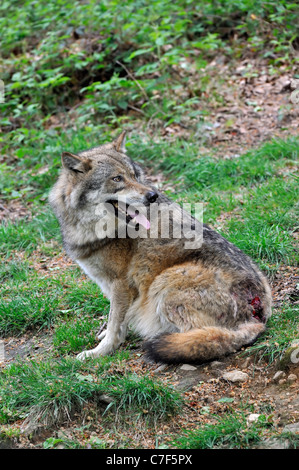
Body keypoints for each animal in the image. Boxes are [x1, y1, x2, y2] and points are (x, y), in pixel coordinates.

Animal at [49, 132, 272, 364]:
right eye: (117, 178)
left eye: (135, 175)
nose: (152, 195)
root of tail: (257, 317)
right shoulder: (111, 285)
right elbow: (117, 319)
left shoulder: (121, 284)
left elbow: (114, 324)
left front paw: (100, 352)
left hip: (163, 282)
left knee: (202, 336)